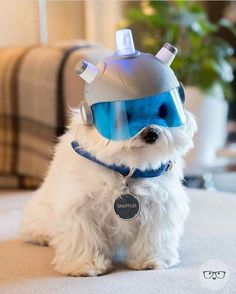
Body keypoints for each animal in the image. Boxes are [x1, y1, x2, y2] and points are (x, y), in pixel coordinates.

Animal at [19, 107, 197, 276]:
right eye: (125, 114)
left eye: (164, 111)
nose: (151, 133)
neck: (126, 169)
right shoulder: (79, 206)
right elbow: (84, 236)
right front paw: (85, 265)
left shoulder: (161, 205)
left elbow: (153, 236)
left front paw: (150, 260)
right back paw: (41, 237)